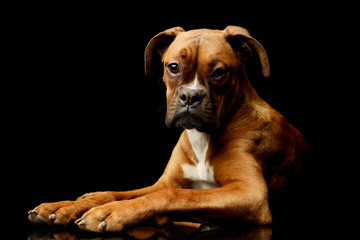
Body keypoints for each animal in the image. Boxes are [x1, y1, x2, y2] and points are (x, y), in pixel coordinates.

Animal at [28, 25, 308, 232]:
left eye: (219, 72)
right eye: (173, 67)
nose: (190, 96)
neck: (204, 137)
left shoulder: (250, 194)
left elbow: (172, 196)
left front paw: (112, 212)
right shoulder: (163, 182)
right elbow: (122, 193)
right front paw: (63, 206)